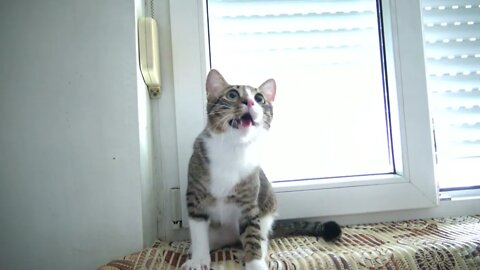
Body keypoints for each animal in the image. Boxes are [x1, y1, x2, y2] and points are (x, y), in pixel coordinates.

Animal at [181, 70, 342, 270]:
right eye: (232, 94)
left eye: (259, 98)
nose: (250, 102)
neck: (233, 149)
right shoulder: (196, 198)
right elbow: (198, 232)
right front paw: (198, 259)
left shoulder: (249, 205)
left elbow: (252, 237)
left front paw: (255, 263)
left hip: (267, 209)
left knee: (262, 237)